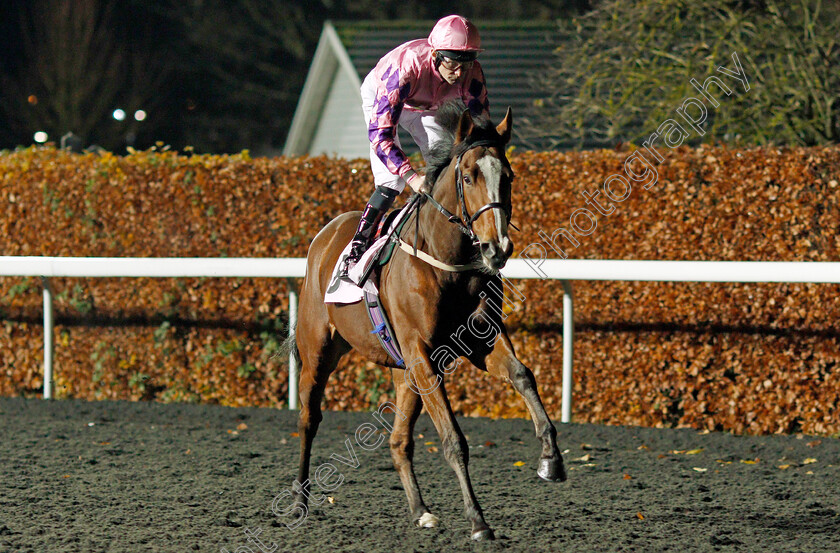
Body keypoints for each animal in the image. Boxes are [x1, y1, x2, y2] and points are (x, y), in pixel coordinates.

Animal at [286, 102, 568, 540]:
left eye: (508, 176)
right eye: (468, 176)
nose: (498, 248)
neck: (446, 262)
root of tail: (326, 234)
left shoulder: (477, 342)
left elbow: (523, 375)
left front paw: (550, 458)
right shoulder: (422, 354)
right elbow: (453, 438)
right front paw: (478, 520)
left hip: (404, 372)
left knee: (398, 441)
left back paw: (421, 510)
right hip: (319, 350)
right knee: (309, 419)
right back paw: (299, 501)